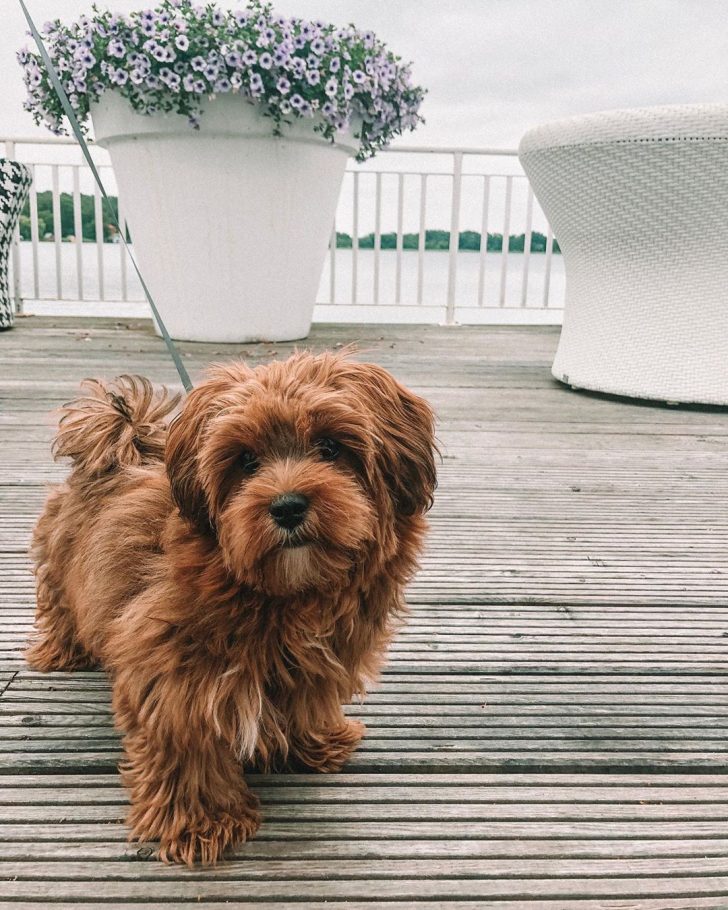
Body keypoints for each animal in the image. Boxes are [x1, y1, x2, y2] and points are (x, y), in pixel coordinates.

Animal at [27, 352, 438, 864]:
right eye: (246, 461)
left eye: (330, 447)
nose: (287, 506)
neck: (282, 596)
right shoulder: (171, 666)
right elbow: (187, 740)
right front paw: (202, 821)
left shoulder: (317, 657)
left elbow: (306, 698)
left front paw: (313, 741)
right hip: (60, 567)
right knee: (59, 604)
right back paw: (62, 650)